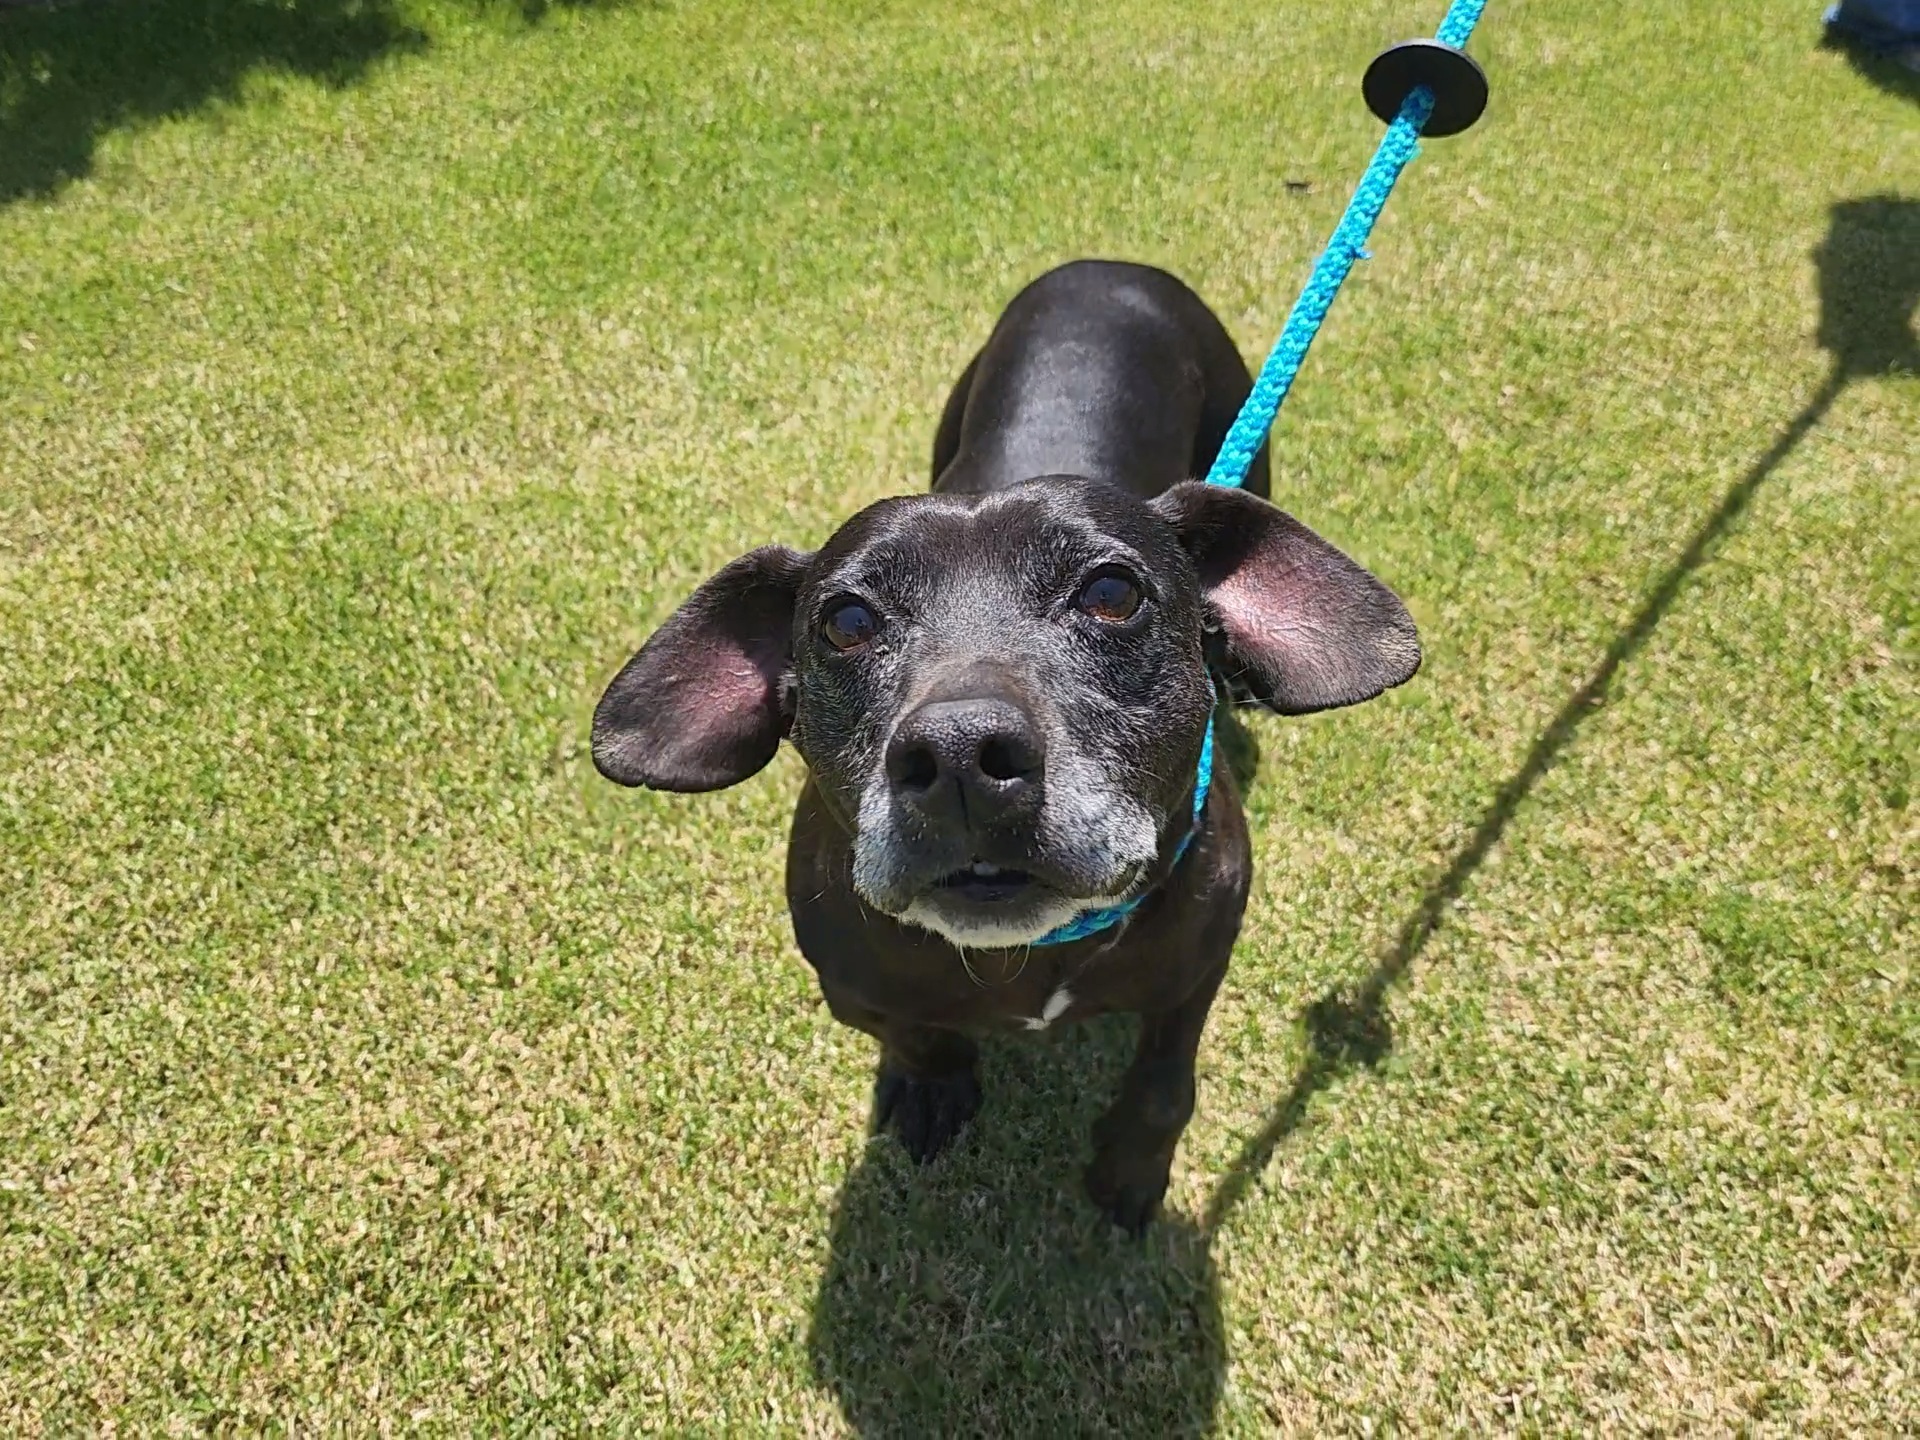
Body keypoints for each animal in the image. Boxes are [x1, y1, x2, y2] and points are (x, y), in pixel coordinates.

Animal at [591, 257, 1420, 1228]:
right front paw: (930, 1087)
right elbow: (916, 1036)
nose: (958, 755)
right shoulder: (849, 984)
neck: (1031, 958)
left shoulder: (1203, 958)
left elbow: (1164, 1083)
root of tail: (1111, 265)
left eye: (1112, 592)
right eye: (845, 621)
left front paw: (1130, 1169)